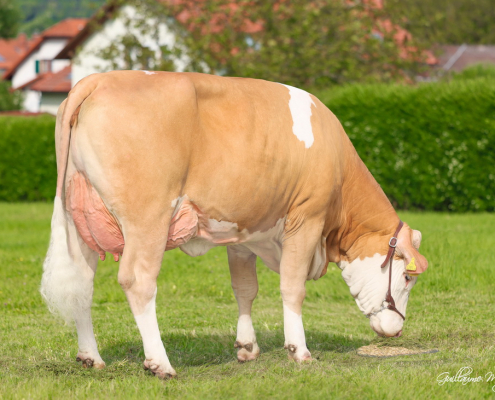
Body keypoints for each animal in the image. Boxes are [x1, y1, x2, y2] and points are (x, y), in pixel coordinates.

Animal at [41, 70, 430, 380]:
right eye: (407, 278)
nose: (397, 331)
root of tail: (101, 78)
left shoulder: (244, 233)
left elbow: (245, 289)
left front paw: (247, 347)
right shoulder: (306, 219)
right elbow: (292, 287)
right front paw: (299, 351)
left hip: (79, 219)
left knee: (82, 285)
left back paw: (91, 357)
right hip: (147, 218)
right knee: (138, 281)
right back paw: (160, 364)